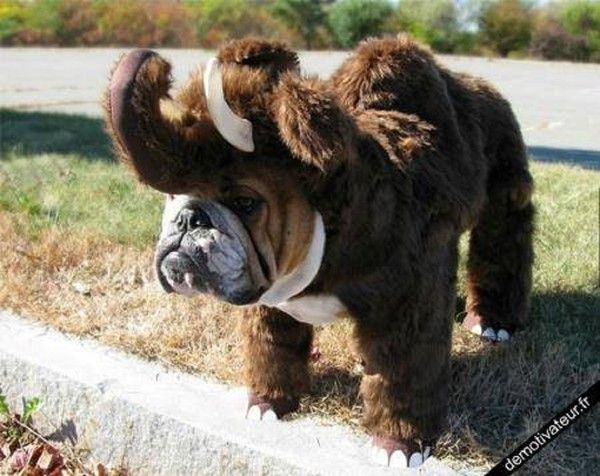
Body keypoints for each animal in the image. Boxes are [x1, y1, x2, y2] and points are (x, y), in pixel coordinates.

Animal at [104, 35, 534, 468]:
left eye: (245, 202)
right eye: (173, 197)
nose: (189, 219)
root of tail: (485, 88)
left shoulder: (409, 301)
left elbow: (404, 368)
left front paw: (399, 446)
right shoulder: (268, 301)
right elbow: (273, 345)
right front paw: (268, 405)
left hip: (504, 187)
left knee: (503, 240)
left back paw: (493, 324)